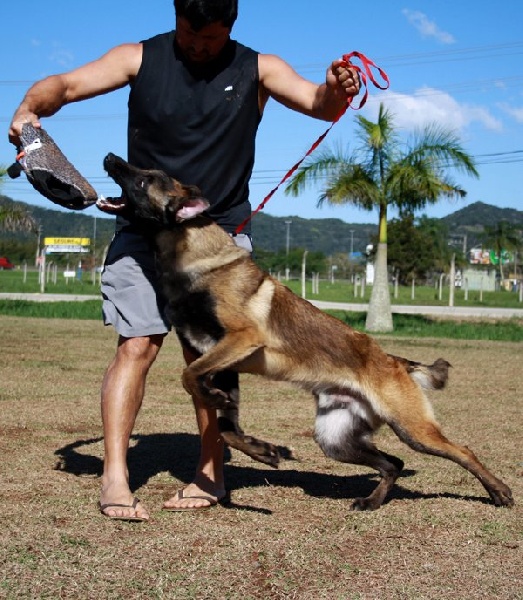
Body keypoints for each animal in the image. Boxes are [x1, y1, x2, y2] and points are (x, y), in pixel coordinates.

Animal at [96, 154, 512, 510]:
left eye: (145, 177)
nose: (110, 157)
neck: (194, 262)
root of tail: (397, 360)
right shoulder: (222, 364)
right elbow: (225, 425)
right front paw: (262, 449)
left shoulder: (241, 340)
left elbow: (189, 378)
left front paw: (221, 407)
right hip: (335, 439)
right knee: (393, 463)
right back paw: (372, 502)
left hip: (413, 429)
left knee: (462, 451)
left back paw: (499, 491)